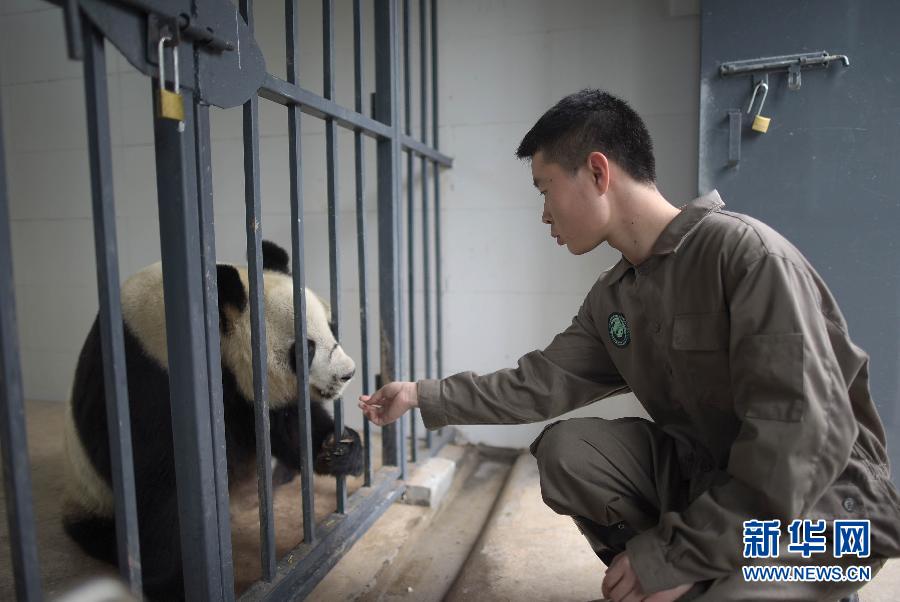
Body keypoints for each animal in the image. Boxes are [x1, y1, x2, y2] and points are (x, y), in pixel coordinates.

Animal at [60, 239, 366, 596]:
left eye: (331, 328)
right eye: (306, 349)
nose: (348, 373)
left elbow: (286, 425)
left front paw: (340, 449)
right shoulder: (149, 381)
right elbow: (159, 486)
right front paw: (169, 583)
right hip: (92, 496)